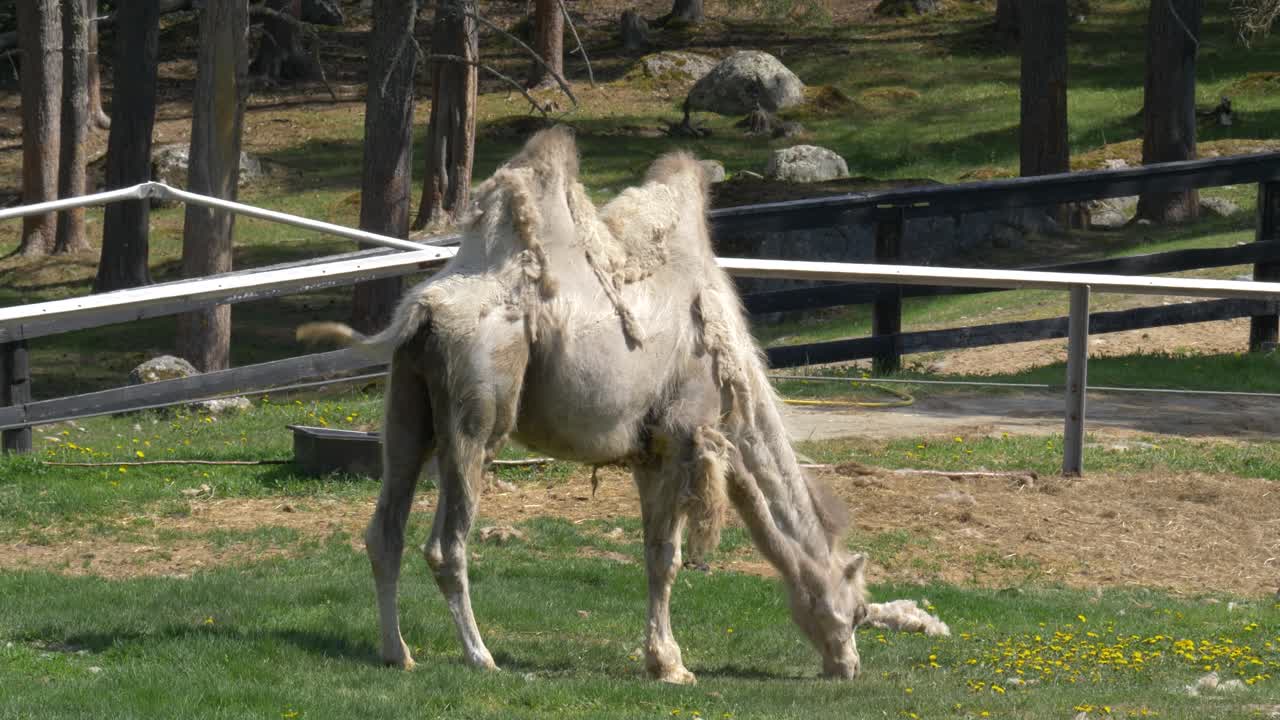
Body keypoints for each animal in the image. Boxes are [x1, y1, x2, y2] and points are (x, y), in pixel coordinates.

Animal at [298, 127, 870, 683]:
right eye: (858, 610)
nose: (849, 665)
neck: (737, 387)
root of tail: (422, 310)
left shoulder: (647, 452)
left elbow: (653, 554)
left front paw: (660, 658)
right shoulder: (684, 435)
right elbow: (669, 558)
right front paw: (673, 666)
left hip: (406, 405)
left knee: (384, 530)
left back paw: (397, 653)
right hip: (477, 413)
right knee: (447, 541)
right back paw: (481, 656)